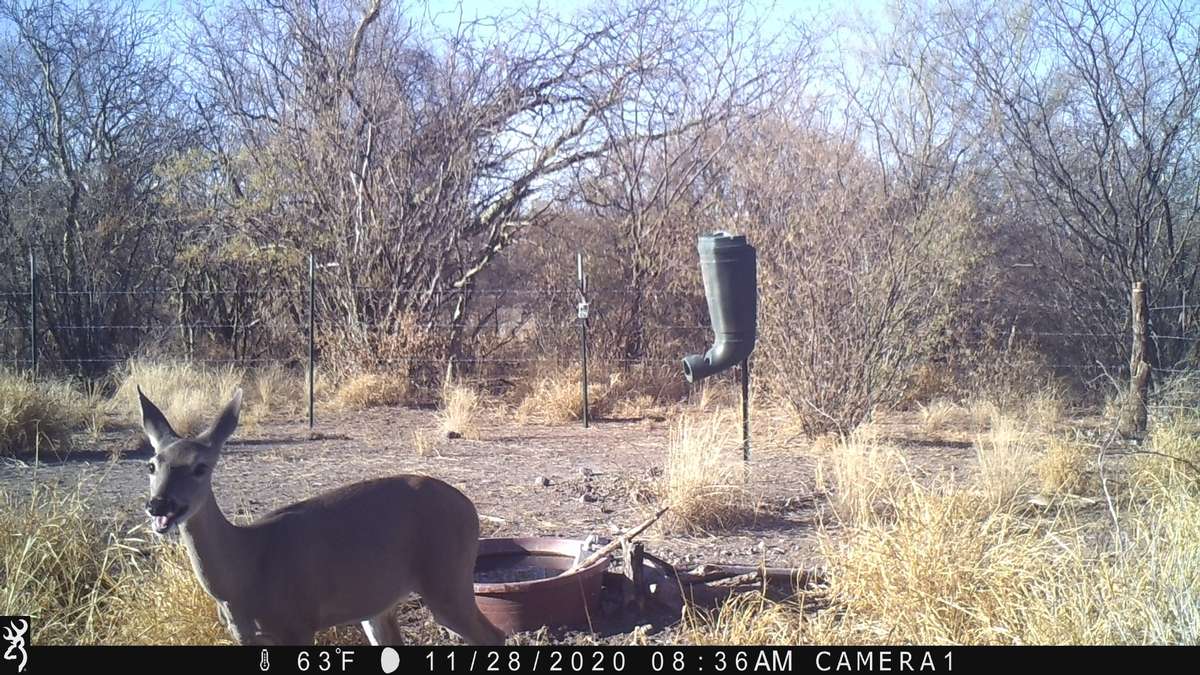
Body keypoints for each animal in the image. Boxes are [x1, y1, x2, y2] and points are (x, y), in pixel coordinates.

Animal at [137, 386, 505, 646]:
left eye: (201, 467)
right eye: (152, 465)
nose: (159, 505)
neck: (247, 568)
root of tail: (469, 508)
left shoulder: (297, 624)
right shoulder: (245, 636)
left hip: (447, 580)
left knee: (494, 635)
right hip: (379, 601)